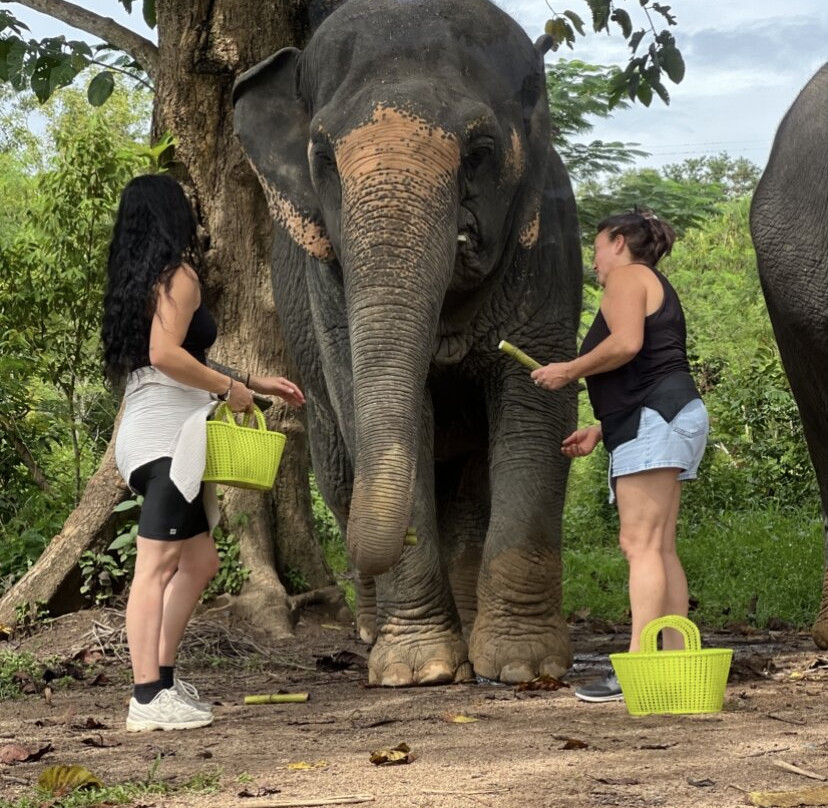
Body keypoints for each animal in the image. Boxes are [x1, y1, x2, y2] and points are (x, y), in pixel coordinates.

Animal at [233, 0, 583, 685]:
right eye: (322, 155)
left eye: (480, 150)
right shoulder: (327, 287)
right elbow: (377, 410)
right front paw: (417, 672)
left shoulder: (549, 244)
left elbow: (534, 411)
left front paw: (522, 667)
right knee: (340, 469)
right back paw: (374, 632)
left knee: (471, 485)